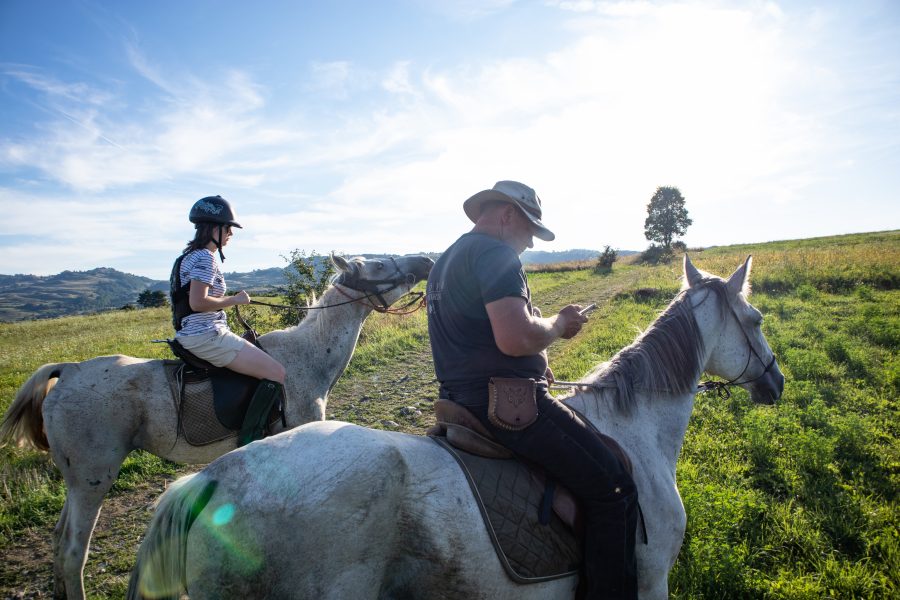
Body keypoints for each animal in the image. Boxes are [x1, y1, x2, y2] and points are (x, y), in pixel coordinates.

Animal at [0, 254, 436, 600]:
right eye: (378, 265)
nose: (427, 261)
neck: (308, 355)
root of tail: (69, 371)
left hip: (76, 481)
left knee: (59, 542)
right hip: (94, 478)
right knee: (73, 553)